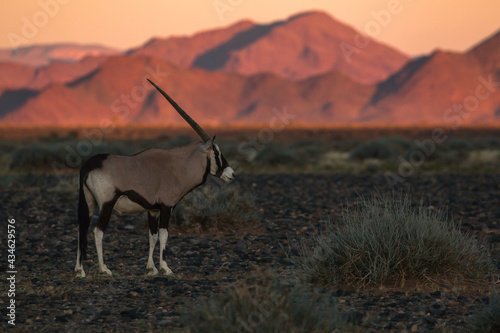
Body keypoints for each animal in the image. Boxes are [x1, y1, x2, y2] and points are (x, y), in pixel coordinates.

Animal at [75, 80, 235, 278]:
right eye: (217, 153)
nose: (231, 174)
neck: (178, 165)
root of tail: (89, 165)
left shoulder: (153, 210)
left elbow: (153, 236)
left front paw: (151, 268)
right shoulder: (166, 207)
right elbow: (164, 235)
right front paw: (165, 268)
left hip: (89, 202)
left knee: (82, 227)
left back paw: (80, 270)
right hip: (106, 204)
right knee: (98, 231)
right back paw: (104, 268)